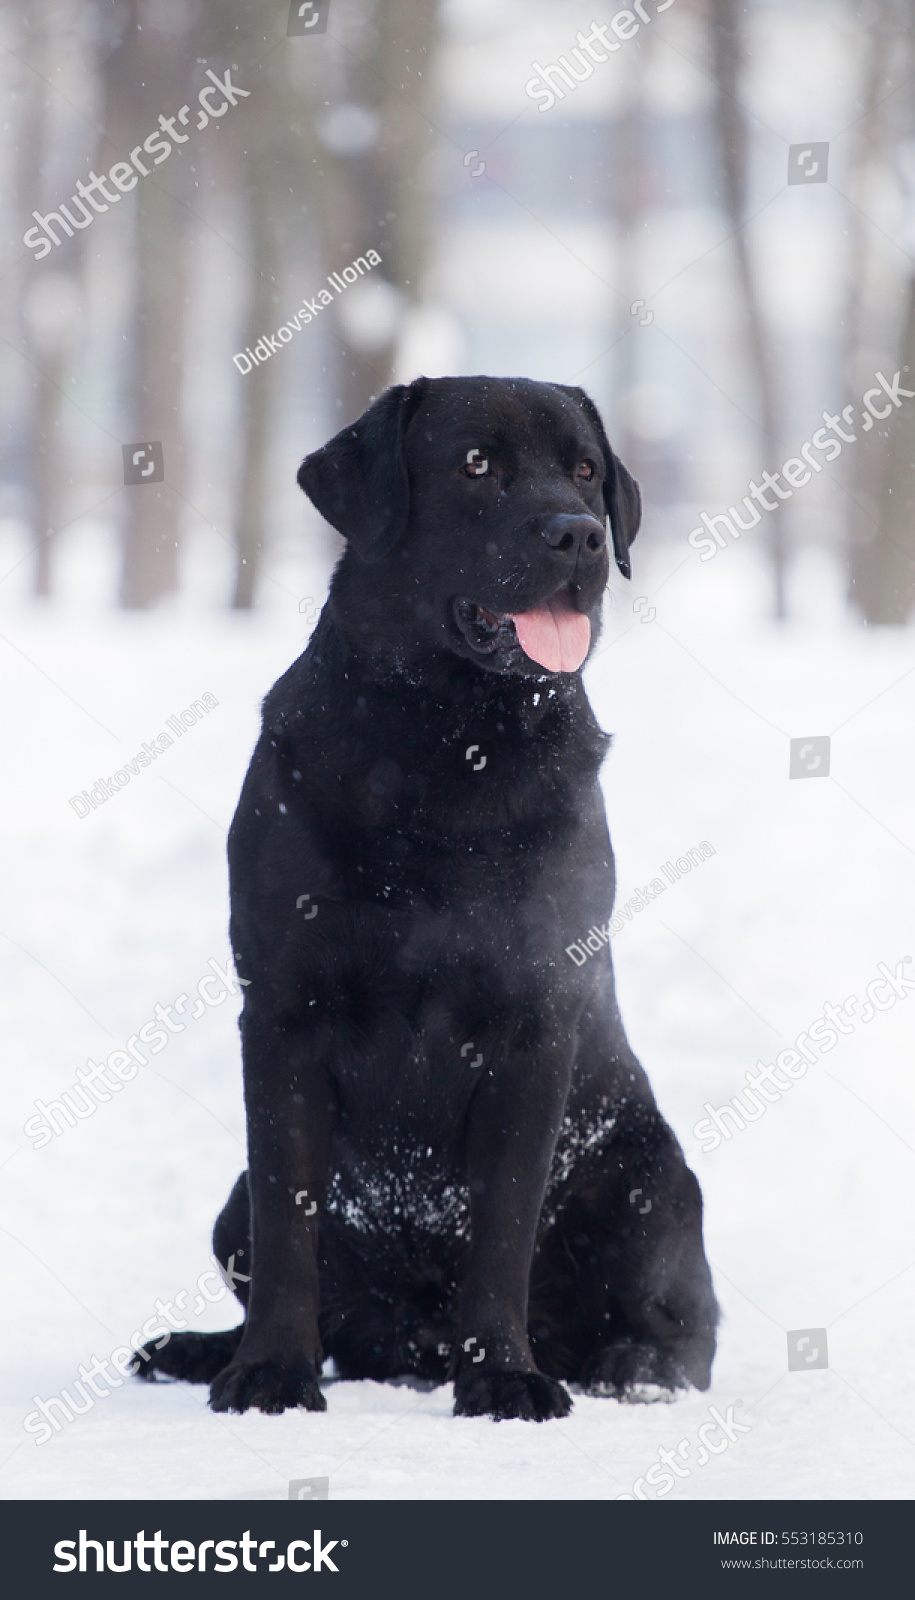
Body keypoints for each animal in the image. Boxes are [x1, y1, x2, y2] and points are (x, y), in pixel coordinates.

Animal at [139, 377, 719, 1427]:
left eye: (584, 469)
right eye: (476, 465)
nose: (578, 535)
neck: (447, 742)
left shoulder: (534, 1024)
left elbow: (501, 1229)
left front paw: (503, 1377)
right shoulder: (281, 1012)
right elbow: (291, 1225)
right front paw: (269, 1372)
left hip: (653, 1181)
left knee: (679, 1331)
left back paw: (628, 1369)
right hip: (229, 1204)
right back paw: (201, 1350)